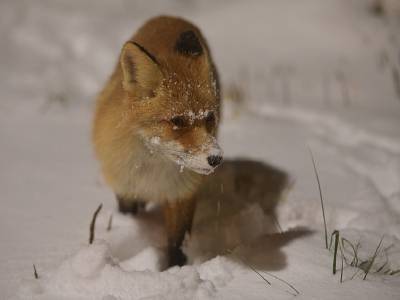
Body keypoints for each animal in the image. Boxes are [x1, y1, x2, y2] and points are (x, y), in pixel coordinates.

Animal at [93, 15, 222, 266]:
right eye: (178, 121)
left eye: (210, 117)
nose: (215, 159)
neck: (153, 170)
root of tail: (170, 17)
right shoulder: (125, 188)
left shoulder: (182, 193)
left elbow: (177, 243)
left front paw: (175, 269)